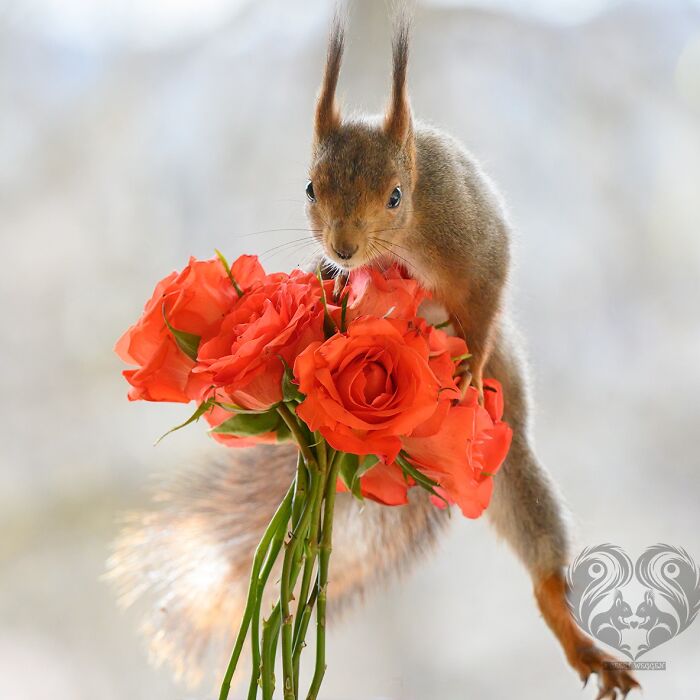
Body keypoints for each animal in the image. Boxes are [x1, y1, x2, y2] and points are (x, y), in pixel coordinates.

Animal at [108, 15, 640, 698]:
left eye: (394, 197)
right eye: (311, 187)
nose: (343, 246)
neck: (408, 228)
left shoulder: (474, 234)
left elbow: (488, 290)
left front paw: (470, 359)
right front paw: (322, 278)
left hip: (507, 446)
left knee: (536, 536)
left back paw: (568, 621)